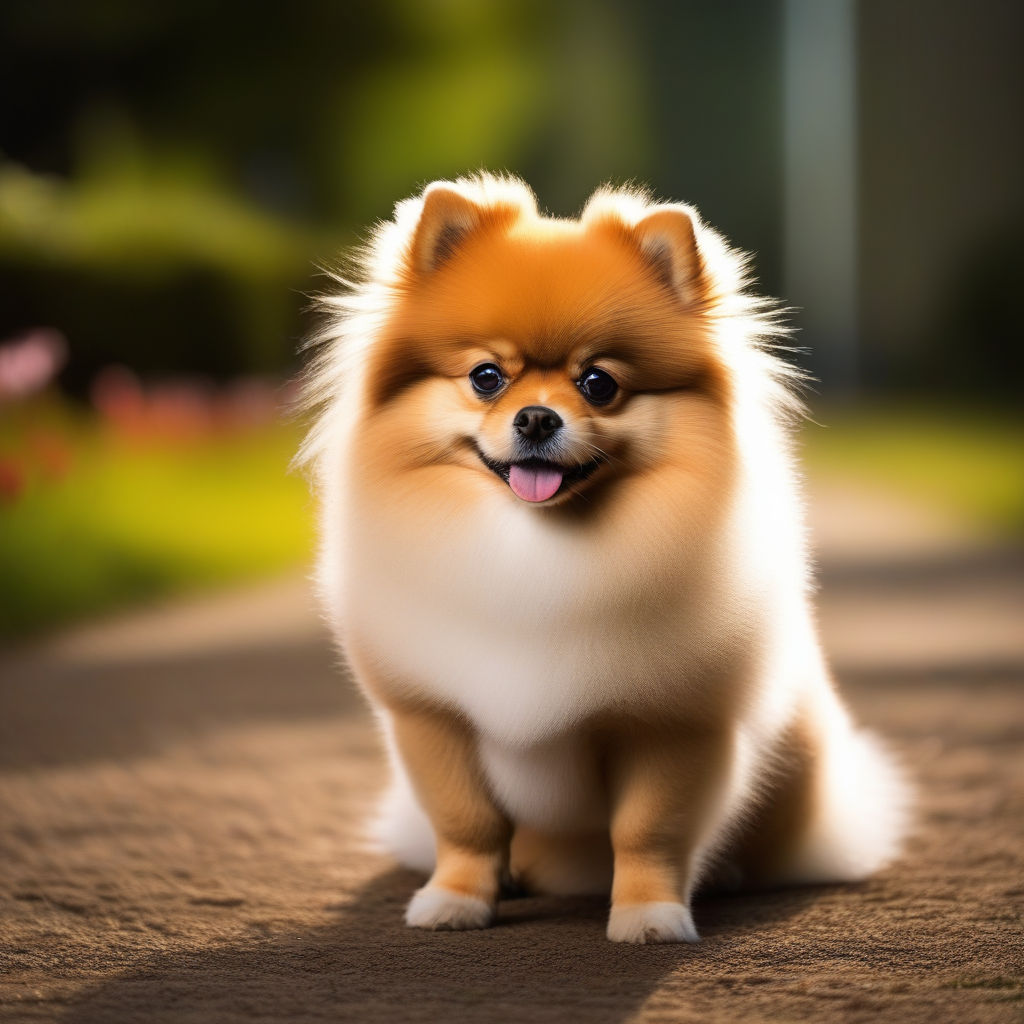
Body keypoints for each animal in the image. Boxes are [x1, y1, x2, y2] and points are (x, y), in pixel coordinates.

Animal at [299, 169, 909, 942]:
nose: (536, 417)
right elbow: (467, 824)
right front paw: (456, 900)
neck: (537, 549)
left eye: (599, 383)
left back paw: (726, 874)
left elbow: (648, 831)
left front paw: (650, 915)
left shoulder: (672, 725)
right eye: (487, 377)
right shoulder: (434, 719)